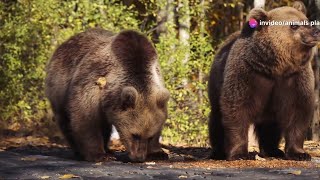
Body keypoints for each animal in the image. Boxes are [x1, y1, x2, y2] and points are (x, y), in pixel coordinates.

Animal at [45, 27, 170, 162]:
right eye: (134, 135)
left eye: (150, 137)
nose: (139, 158)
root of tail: (65, 42)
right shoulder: (95, 80)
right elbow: (85, 116)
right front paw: (98, 154)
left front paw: (158, 153)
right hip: (59, 85)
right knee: (65, 120)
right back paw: (81, 151)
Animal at [208, 1, 320, 161]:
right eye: (294, 25)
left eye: (307, 21)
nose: (316, 32)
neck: (276, 67)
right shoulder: (248, 74)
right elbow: (236, 109)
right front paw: (239, 153)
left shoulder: (294, 79)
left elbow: (298, 111)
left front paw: (299, 153)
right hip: (216, 83)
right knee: (217, 119)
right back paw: (218, 152)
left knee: (270, 126)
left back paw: (273, 150)